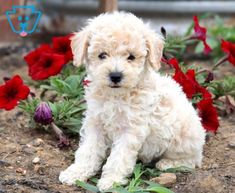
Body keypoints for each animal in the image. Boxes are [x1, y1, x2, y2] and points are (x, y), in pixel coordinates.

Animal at [59, 12, 206, 191]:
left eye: (131, 57)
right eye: (102, 55)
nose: (115, 75)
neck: (116, 96)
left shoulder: (130, 130)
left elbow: (119, 157)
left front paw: (111, 182)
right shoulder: (95, 123)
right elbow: (88, 150)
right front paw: (76, 173)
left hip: (183, 140)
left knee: (192, 160)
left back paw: (167, 163)